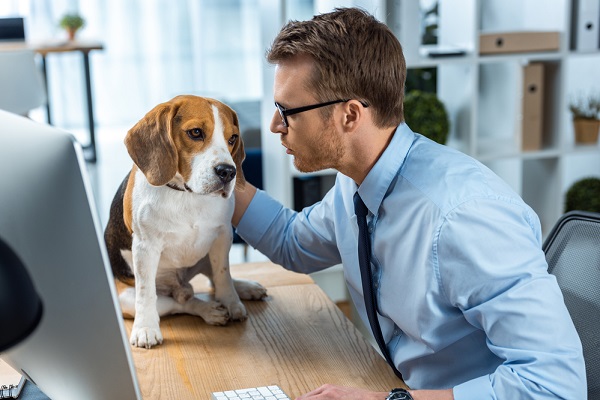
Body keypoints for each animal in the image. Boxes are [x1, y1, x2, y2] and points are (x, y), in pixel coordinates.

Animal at [105, 95, 268, 348]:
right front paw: (145, 328)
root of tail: (179, 286)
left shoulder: (223, 235)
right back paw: (208, 310)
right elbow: (146, 292)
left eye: (232, 138)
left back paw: (244, 287)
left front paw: (232, 302)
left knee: (213, 280)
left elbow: (223, 274)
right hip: (125, 298)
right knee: (180, 303)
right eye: (196, 132)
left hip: (205, 256)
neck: (187, 194)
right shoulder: (144, 247)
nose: (228, 172)